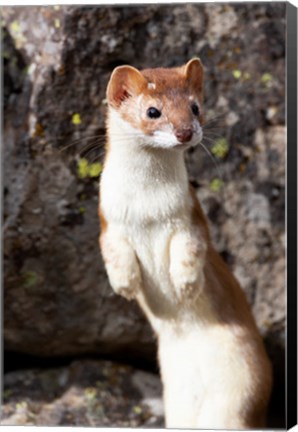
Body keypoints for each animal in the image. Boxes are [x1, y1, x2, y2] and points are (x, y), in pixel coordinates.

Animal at [98, 59, 272, 430]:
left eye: (195, 107)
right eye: (153, 110)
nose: (185, 132)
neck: (146, 209)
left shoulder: (189, 217)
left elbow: (190, 250)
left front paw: (186, 285)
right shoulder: (109, 221)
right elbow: (114, 253)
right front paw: (125, 285)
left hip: (245, 384)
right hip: (176, 400)